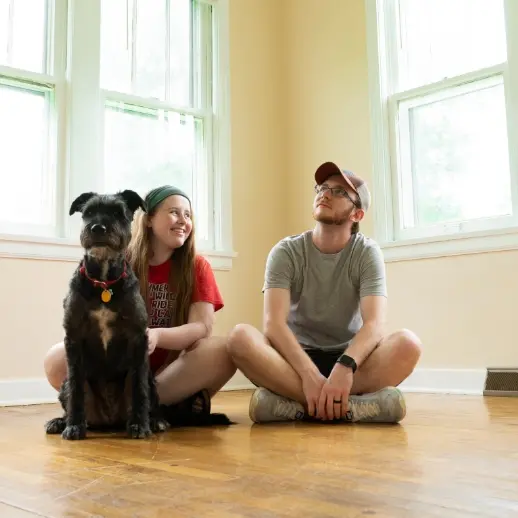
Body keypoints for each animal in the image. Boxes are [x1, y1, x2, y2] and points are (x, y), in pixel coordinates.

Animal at [45, 189, 168, 440]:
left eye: (117, 212)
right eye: (89, 212)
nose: (98, 228)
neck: (103, 283)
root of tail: (109, 420)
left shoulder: (138, 338)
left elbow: (139, 389)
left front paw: (140, 425)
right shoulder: (73, 339)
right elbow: (76, 389)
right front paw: (73, 425)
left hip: (150, 380)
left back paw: (155, 420)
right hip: (64, 386)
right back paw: (60, 421)